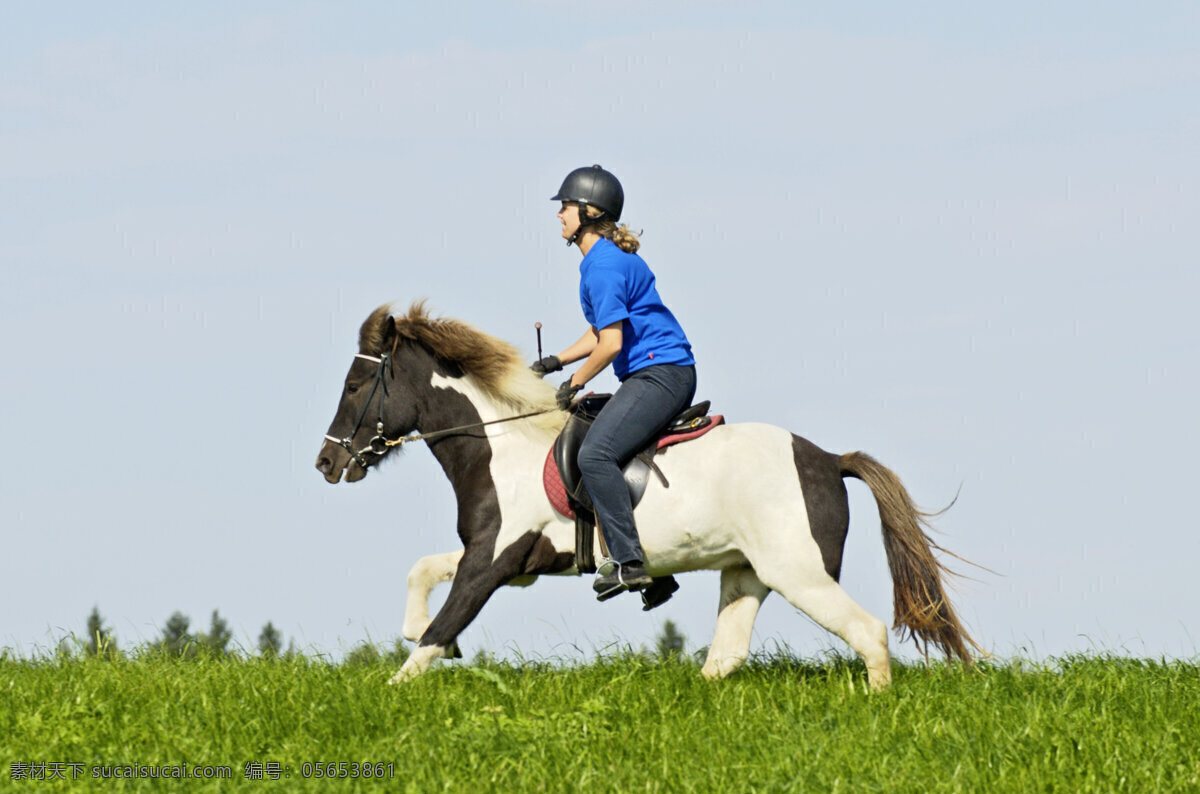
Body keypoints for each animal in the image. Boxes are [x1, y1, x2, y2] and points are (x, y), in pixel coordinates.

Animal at [314, 304, 979, 690]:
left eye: (355, 384)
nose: (326, 463)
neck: (501, 444)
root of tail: (828, 459)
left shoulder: (493, 562)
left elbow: (435, 632)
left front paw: (400, 687)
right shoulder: (505, 557)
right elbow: (422, 573)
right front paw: (423, 634)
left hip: (800, 573)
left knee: (867, 633)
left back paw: (876, 704)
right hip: (747, 572)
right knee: (726, 657)